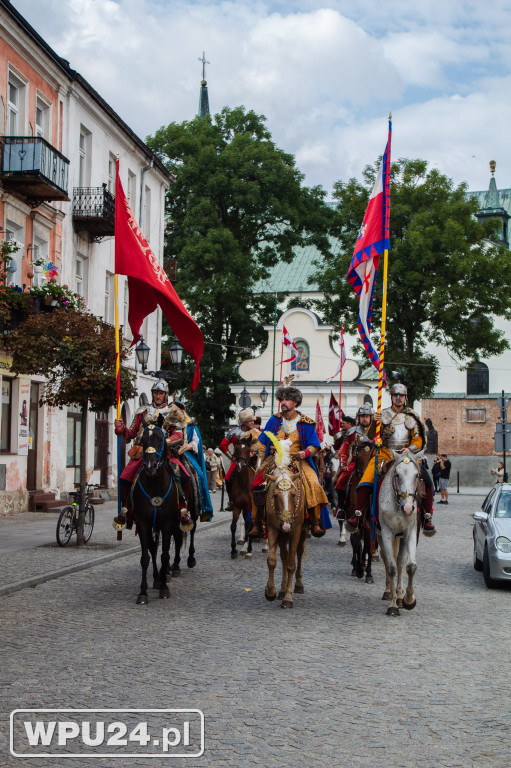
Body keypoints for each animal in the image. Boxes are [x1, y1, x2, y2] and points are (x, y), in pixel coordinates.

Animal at [262, 440, 306, 608]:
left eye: (294, 494)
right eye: (275, 495)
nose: (286, 525)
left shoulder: (296, 531)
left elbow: (291, 564)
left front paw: (288, 597)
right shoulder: (274, 529)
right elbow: (272, 560)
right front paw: (270, 591)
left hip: (302, 532)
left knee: (298, 553)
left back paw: (298, 585)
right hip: (282, 535)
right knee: (284, 556)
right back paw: (281, 589)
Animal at [378, 450, 422, 616]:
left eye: (417, 475)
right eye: (397, 474)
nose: (408, 508)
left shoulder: (410, 531)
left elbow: (410, 566)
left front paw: (409, 600)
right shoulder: (386, 532)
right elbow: (391, 568)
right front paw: (392, 606)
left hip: (401, 538)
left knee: (400, 562)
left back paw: (400, 597)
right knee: (387, 559)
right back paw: (389, 592)